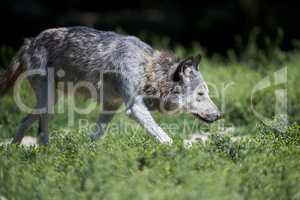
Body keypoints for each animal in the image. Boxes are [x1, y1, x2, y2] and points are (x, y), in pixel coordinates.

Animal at [0, 27, 223, 145]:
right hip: (49, 101)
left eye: (206, 93)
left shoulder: (110, 107)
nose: (220, 115)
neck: (147, 70)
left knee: (30, 124)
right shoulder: (135, 108)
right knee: (30, 125)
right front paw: (179, 152)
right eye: (200, 94)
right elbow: (165, 138)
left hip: (50, 103)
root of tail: (30, 41)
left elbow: (94, 136)